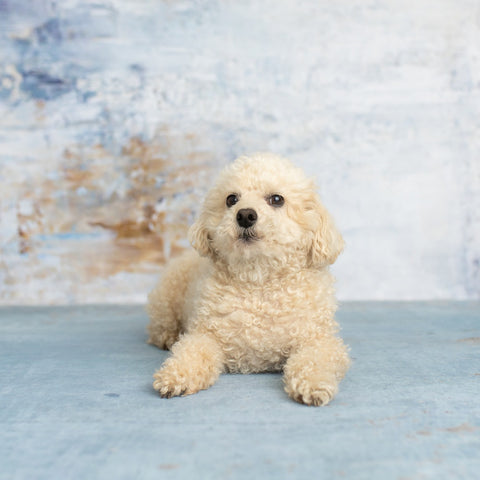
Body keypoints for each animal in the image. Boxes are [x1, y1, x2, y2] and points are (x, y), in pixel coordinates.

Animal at [146, 153, 348, 404]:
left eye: (277, 199)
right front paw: (176, 376)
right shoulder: (205, 334)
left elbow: (314, 359)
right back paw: (168, 337)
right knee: (159, 327)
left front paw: (313, 384)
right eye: (231, 199)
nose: (245, 215)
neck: (258, 280)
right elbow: (191, 351)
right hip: (165, 300)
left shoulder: (319, 339)